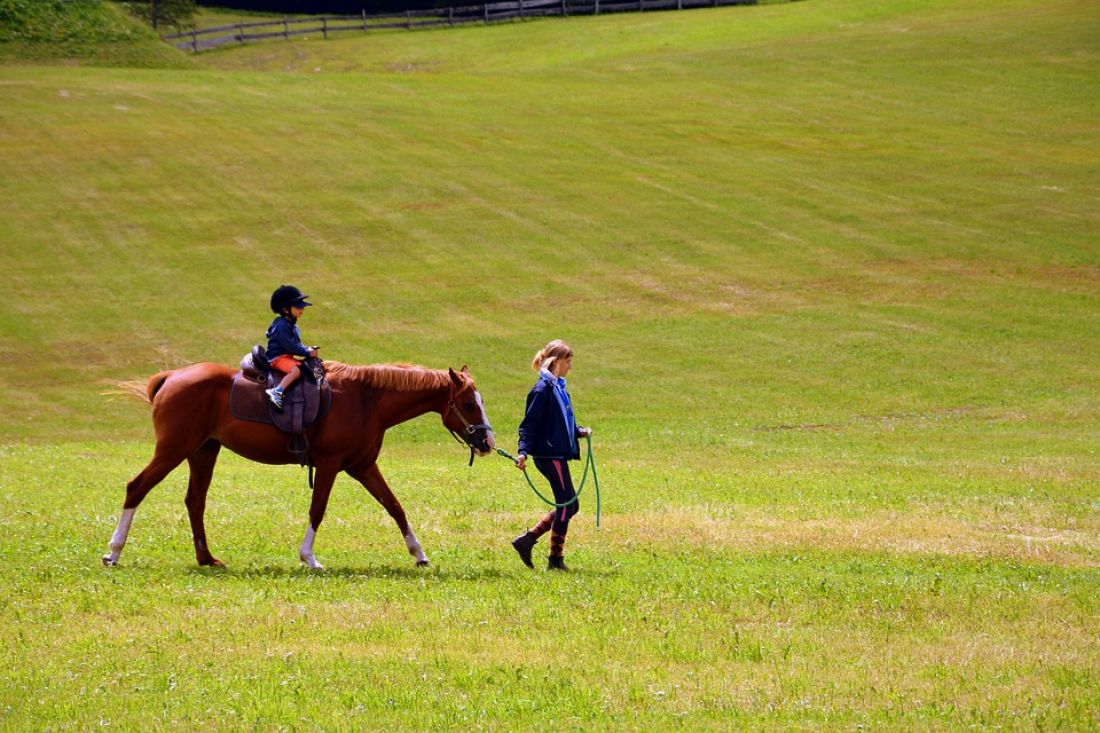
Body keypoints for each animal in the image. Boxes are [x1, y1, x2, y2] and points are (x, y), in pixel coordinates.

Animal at [103, 358, 495, 563]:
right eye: (469, 403)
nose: (487, 442)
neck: (365, 400)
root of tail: (172, 376)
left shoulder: (363, 467)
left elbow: (395, 507)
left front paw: (418, 553)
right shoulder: (330, 465)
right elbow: (317, 509)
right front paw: (309, 556)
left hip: (202, 452)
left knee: (194, 501)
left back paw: (206, 558)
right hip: (173, 449)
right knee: (137, 488)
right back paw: (114, 551)